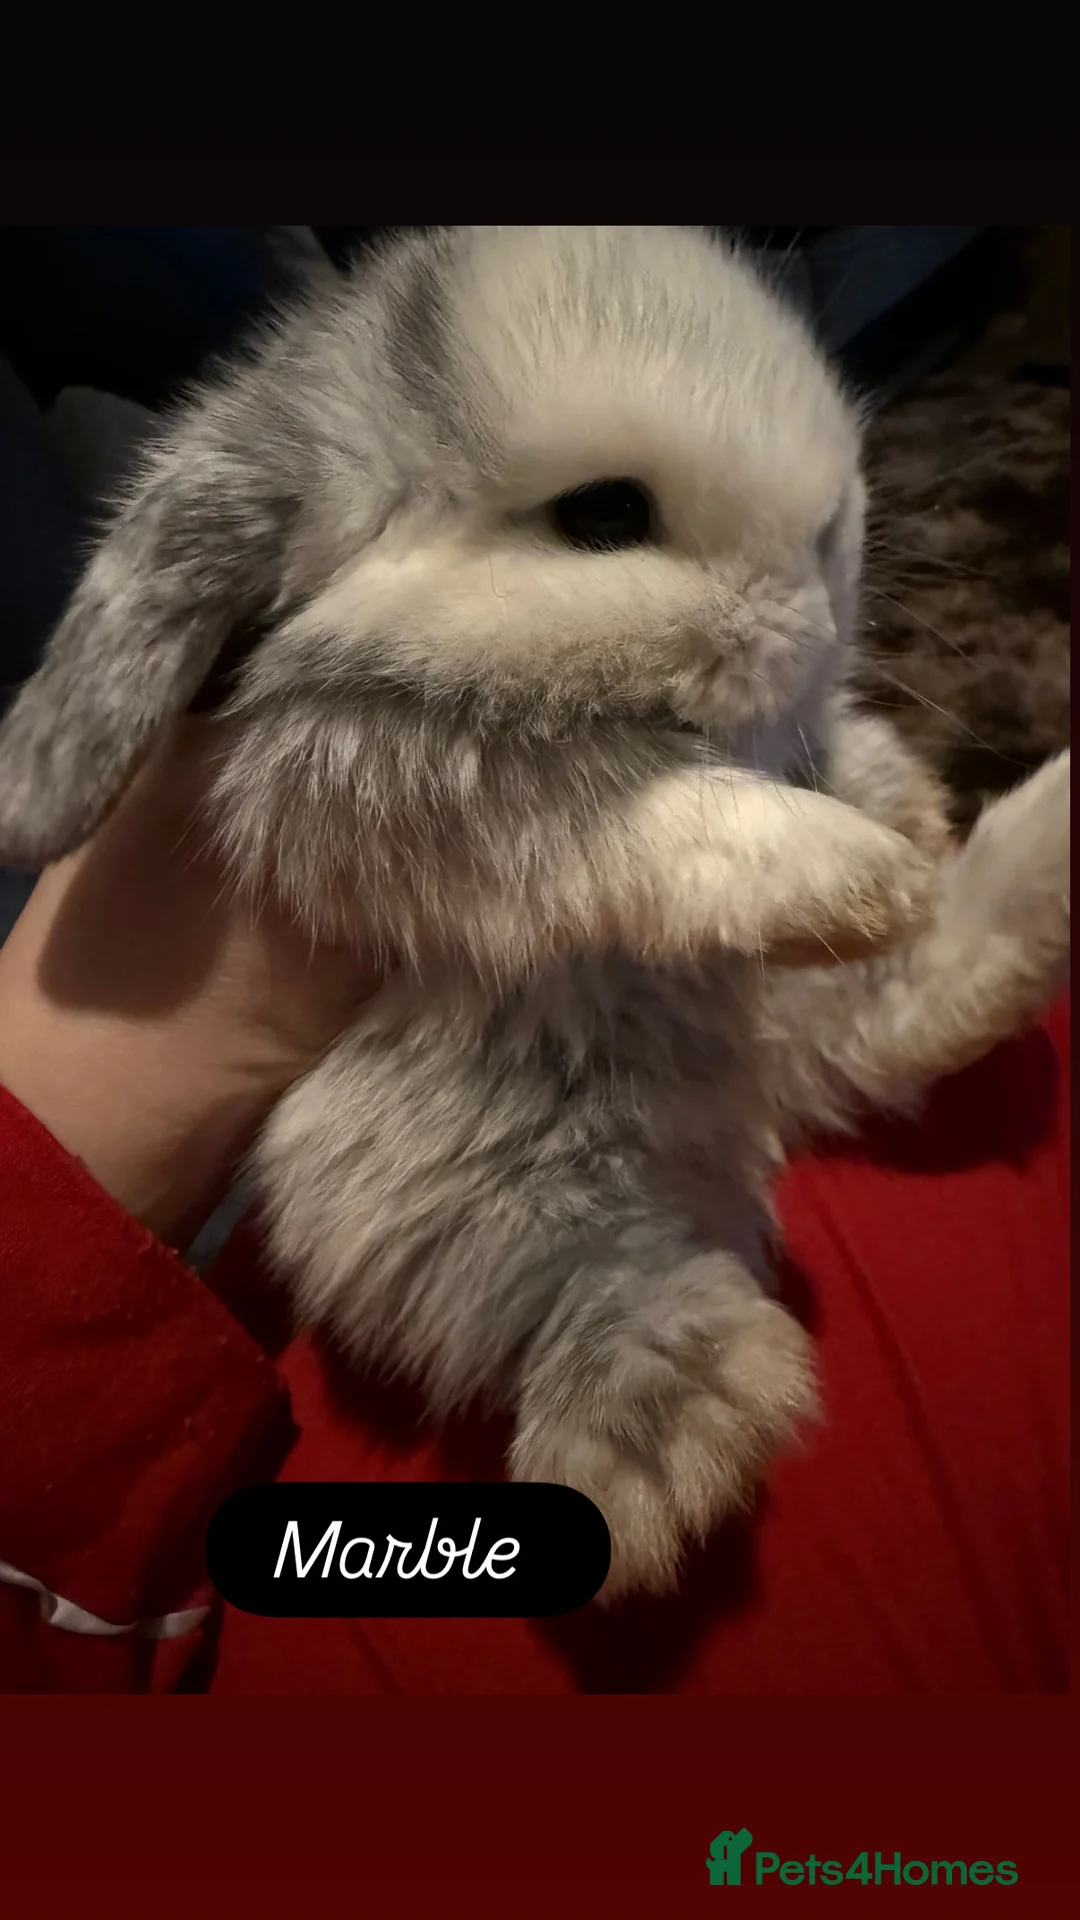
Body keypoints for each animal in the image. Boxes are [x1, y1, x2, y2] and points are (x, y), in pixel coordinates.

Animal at [0, 226, 1068, 1599]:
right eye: (604, 514)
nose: (832, 563)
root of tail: (745, 1108)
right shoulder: (402, 784)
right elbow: (655, 818)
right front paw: (855, 872)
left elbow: (820, 747)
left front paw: (909, 813)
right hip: (484, 1194)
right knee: (582, 1284)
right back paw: (674, 1434)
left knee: (925, 996)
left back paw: (1039, 836)